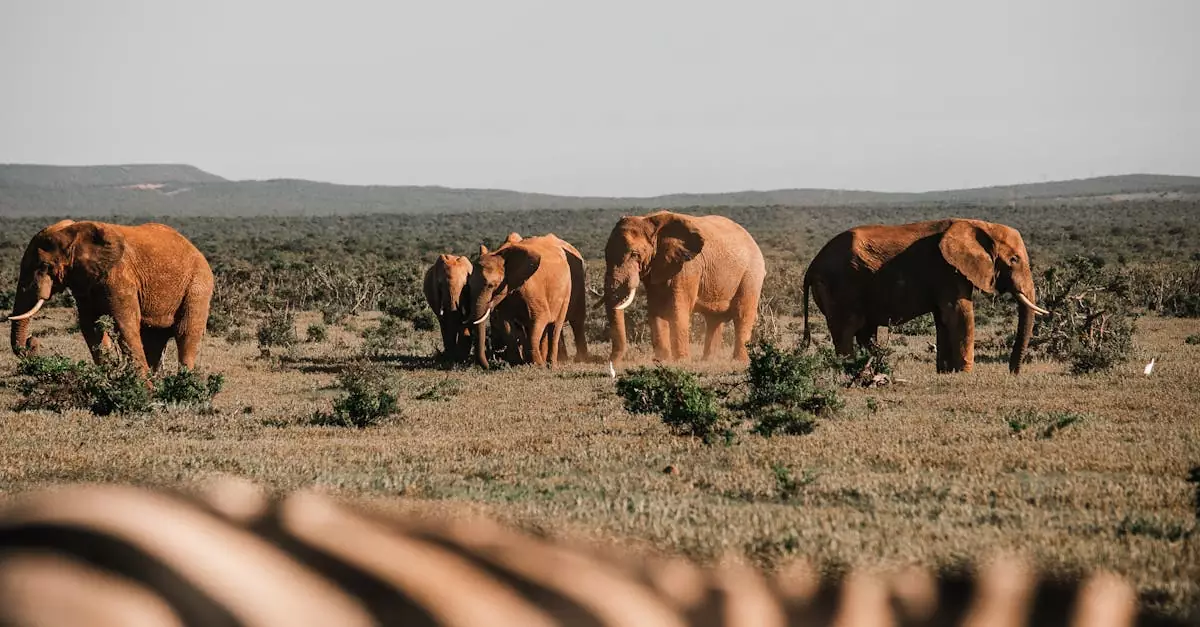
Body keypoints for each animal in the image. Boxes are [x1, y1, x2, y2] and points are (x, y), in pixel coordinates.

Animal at [6, 220, 214, 376]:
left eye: (44, 266)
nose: (32, 341)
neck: (75, 232)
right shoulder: (84, 281)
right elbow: (91, 325)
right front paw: (109, 373)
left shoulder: (120, 276)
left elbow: (125, 323)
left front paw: (142, 387)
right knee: (154, 339)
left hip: (198, 286)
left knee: (186, 333)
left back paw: (183, 381)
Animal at [469, 234, 574, 368]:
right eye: (468, 285)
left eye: (491, 285)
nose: (489, 366)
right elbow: (506, 324)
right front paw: (517, 364)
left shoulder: (533, 289)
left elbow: (539, 319)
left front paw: (537, 365)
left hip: (566, 290)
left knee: (555, 327)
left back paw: (551, 365)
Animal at [603, 211, 765, 364]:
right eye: (605, 254)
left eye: (634, 254)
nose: (613, 364)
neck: (650, 222)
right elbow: (655, 310)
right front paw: (662, 361)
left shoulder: (687, 267)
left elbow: (677, 310)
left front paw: (681, 362)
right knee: (714, 319)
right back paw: (708, 361)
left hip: (751, 274)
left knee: (742, 315)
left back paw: (739, 361)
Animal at [801, 218, 1051, 374]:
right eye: (1014, 259)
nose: (1012, 372)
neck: (979, 225)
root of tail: (812, 266)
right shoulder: (948, 270)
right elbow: (959, 313)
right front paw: (965, 373)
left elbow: (943, 318)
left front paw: (946, 373)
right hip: (839, 286)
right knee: (846, 331)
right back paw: (850, 371)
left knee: (865, 332)